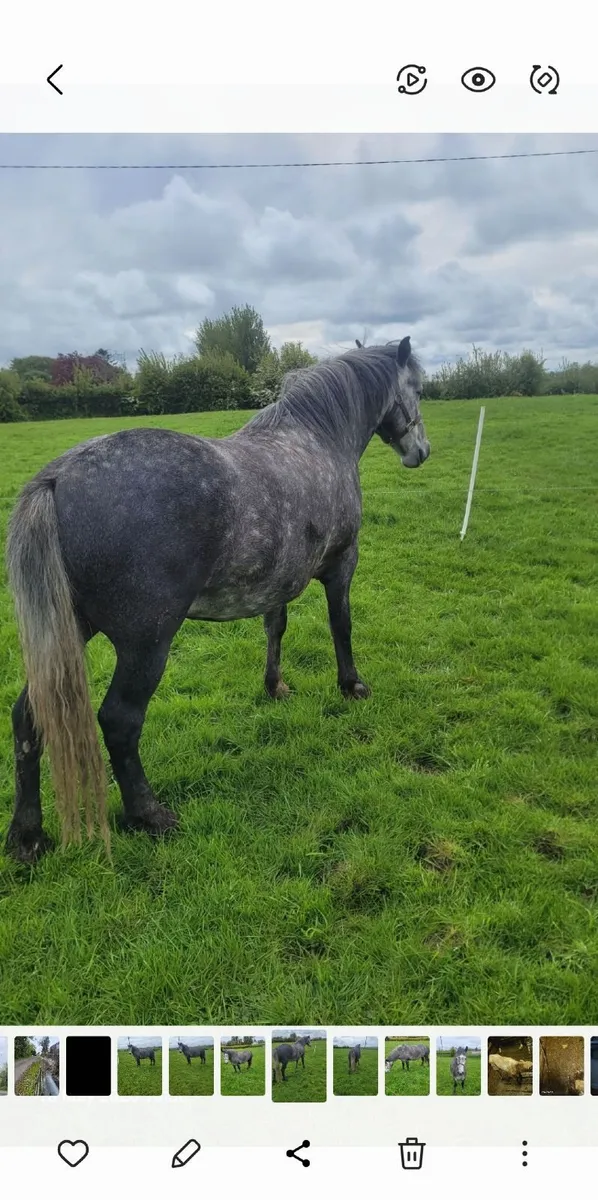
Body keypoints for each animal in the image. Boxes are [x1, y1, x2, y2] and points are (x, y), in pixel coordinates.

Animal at [5, 338, 429, 862]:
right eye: (418, 388)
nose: (421, 451)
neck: (317, 441)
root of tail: (58, 478)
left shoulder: (278, 581)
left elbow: (275, 627)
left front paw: (275, 687)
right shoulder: (342, 566)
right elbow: (341, 625)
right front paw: (352, 686)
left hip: (68, 635)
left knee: (28, 717)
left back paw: (27, 836)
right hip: (146, 645)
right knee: (119, 720)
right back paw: (149, 815)